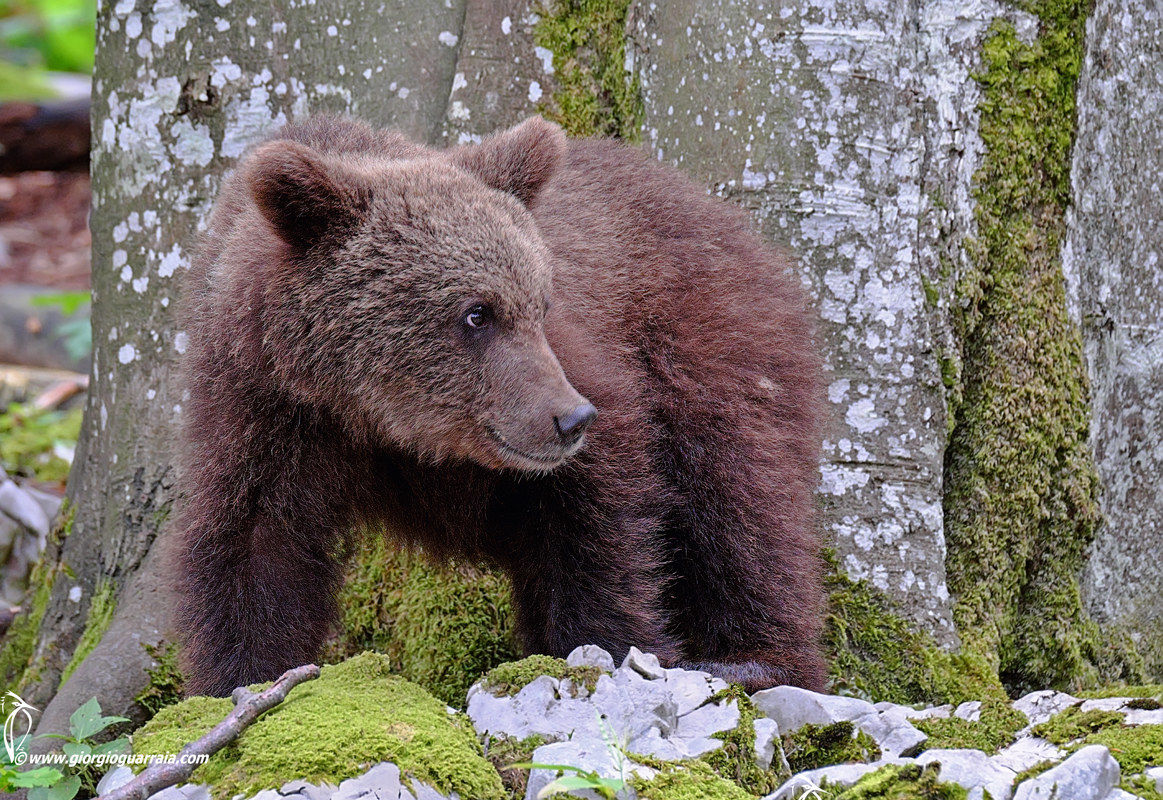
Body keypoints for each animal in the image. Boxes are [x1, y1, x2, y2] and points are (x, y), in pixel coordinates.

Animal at [174, 114, 827, 697]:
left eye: (540, 303)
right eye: (476, 312)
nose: (571, 419)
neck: (375, 417)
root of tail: (730, 219)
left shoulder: (579, 376)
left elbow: (599, 520)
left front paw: (613, 649)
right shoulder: (264, 411)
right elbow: (255, 544)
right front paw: (243, 680)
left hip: (707, 338)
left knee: (735, 494)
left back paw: (754, 661)